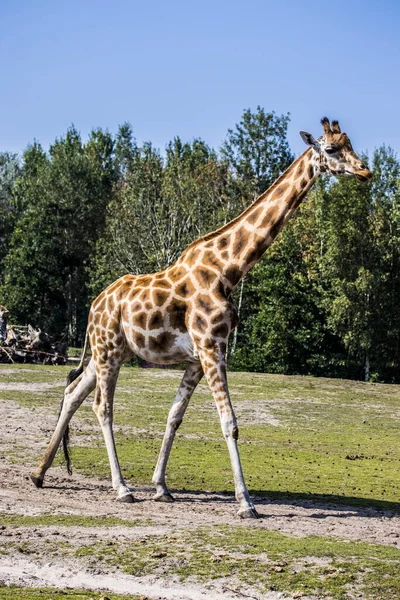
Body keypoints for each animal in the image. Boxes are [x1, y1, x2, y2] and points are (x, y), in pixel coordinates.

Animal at [30, 117, 372, 516]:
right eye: (331, 149)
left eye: (350, 144)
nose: (365, 171)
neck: (230, 269)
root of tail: (93, 306)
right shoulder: (212, 347)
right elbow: (230, 422)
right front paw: (245, 502)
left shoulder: (197, 357)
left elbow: (174, 416)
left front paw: (161, 486)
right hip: (108, 350)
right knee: (102, 406)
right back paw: (121, 487)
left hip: (111, 353)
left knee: (73, 393)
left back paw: (39, 473)